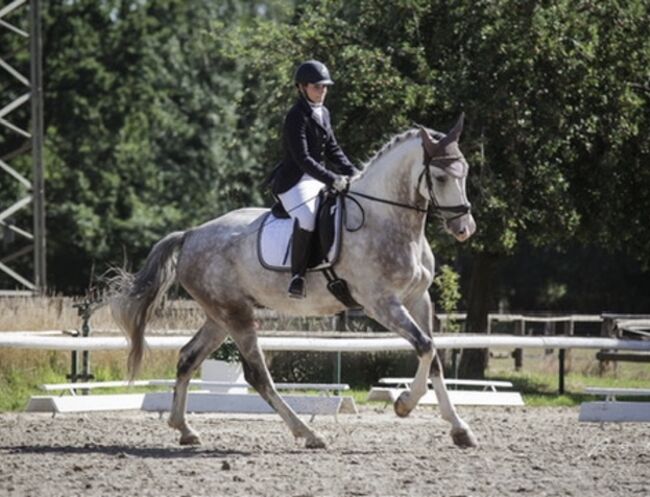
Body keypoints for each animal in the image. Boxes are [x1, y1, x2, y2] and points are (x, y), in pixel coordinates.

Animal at [109, 115, 476, 450]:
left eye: (466, 172)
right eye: (441, 177)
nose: (464, 229)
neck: (386, 218)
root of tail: (191, 234)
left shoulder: (418, 299)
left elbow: (434, 356)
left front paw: (459, 429)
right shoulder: (381, 303)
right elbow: (425, 347)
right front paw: (403, 404)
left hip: (220, 315)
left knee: (188, 357)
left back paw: (184, 429)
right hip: (236, 315)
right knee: (258, 375)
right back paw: (308, 433)